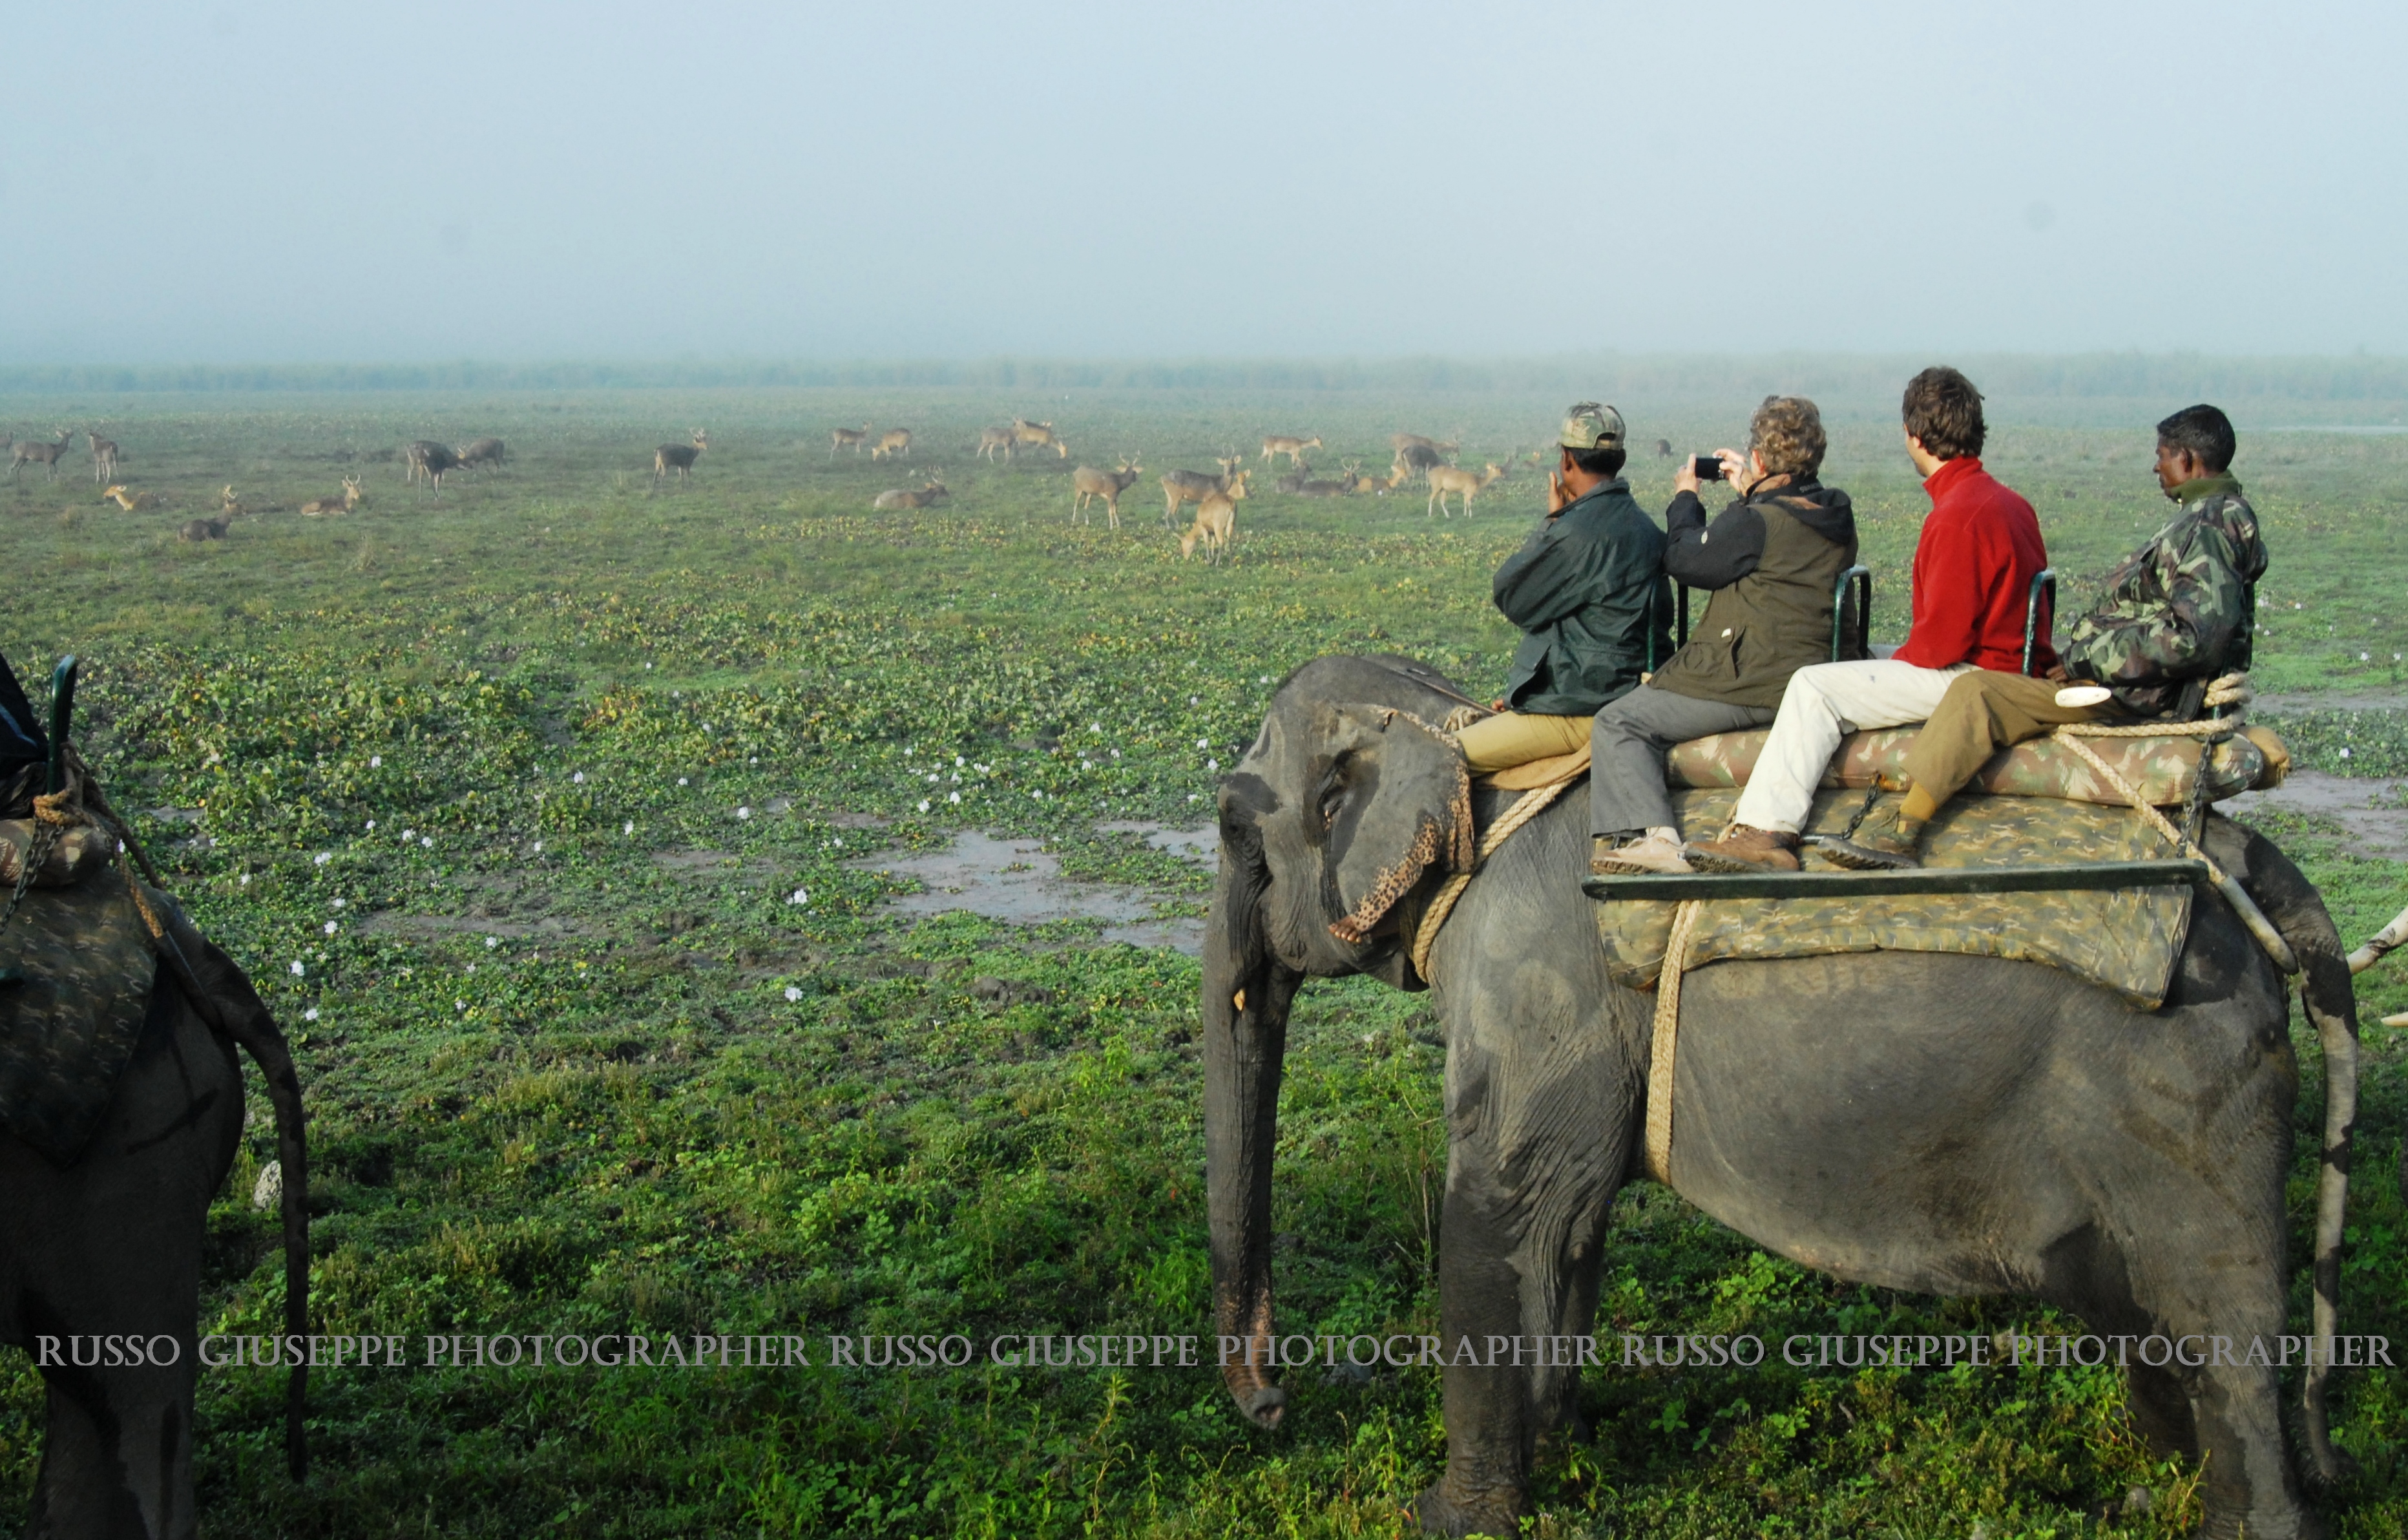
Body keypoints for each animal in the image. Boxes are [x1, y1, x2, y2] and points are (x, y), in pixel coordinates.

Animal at [1160, 453, 1252, 530]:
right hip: (1176, 495)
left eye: (1233, 464)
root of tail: (1163, 478)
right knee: (1173, 511)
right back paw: (1178, 527)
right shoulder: (1209, 496)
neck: (1220, 485)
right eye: (1224, 465)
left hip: (1169, 495)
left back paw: (1168, 527)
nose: (1228, 471)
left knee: (1167, 510)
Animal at [1204, 655, 2350, 1540]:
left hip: (2186, 1083)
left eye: (1231, 828)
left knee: (2219, 1316)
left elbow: (1501, 1210)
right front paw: (1563, 1445)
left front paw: (1442, 1516)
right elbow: (1568, 1222)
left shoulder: (1531, 979)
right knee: (2147, 1314)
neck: (1465, 735)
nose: (1272, 1407)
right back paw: (2154, 1481)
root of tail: (2248, 860)